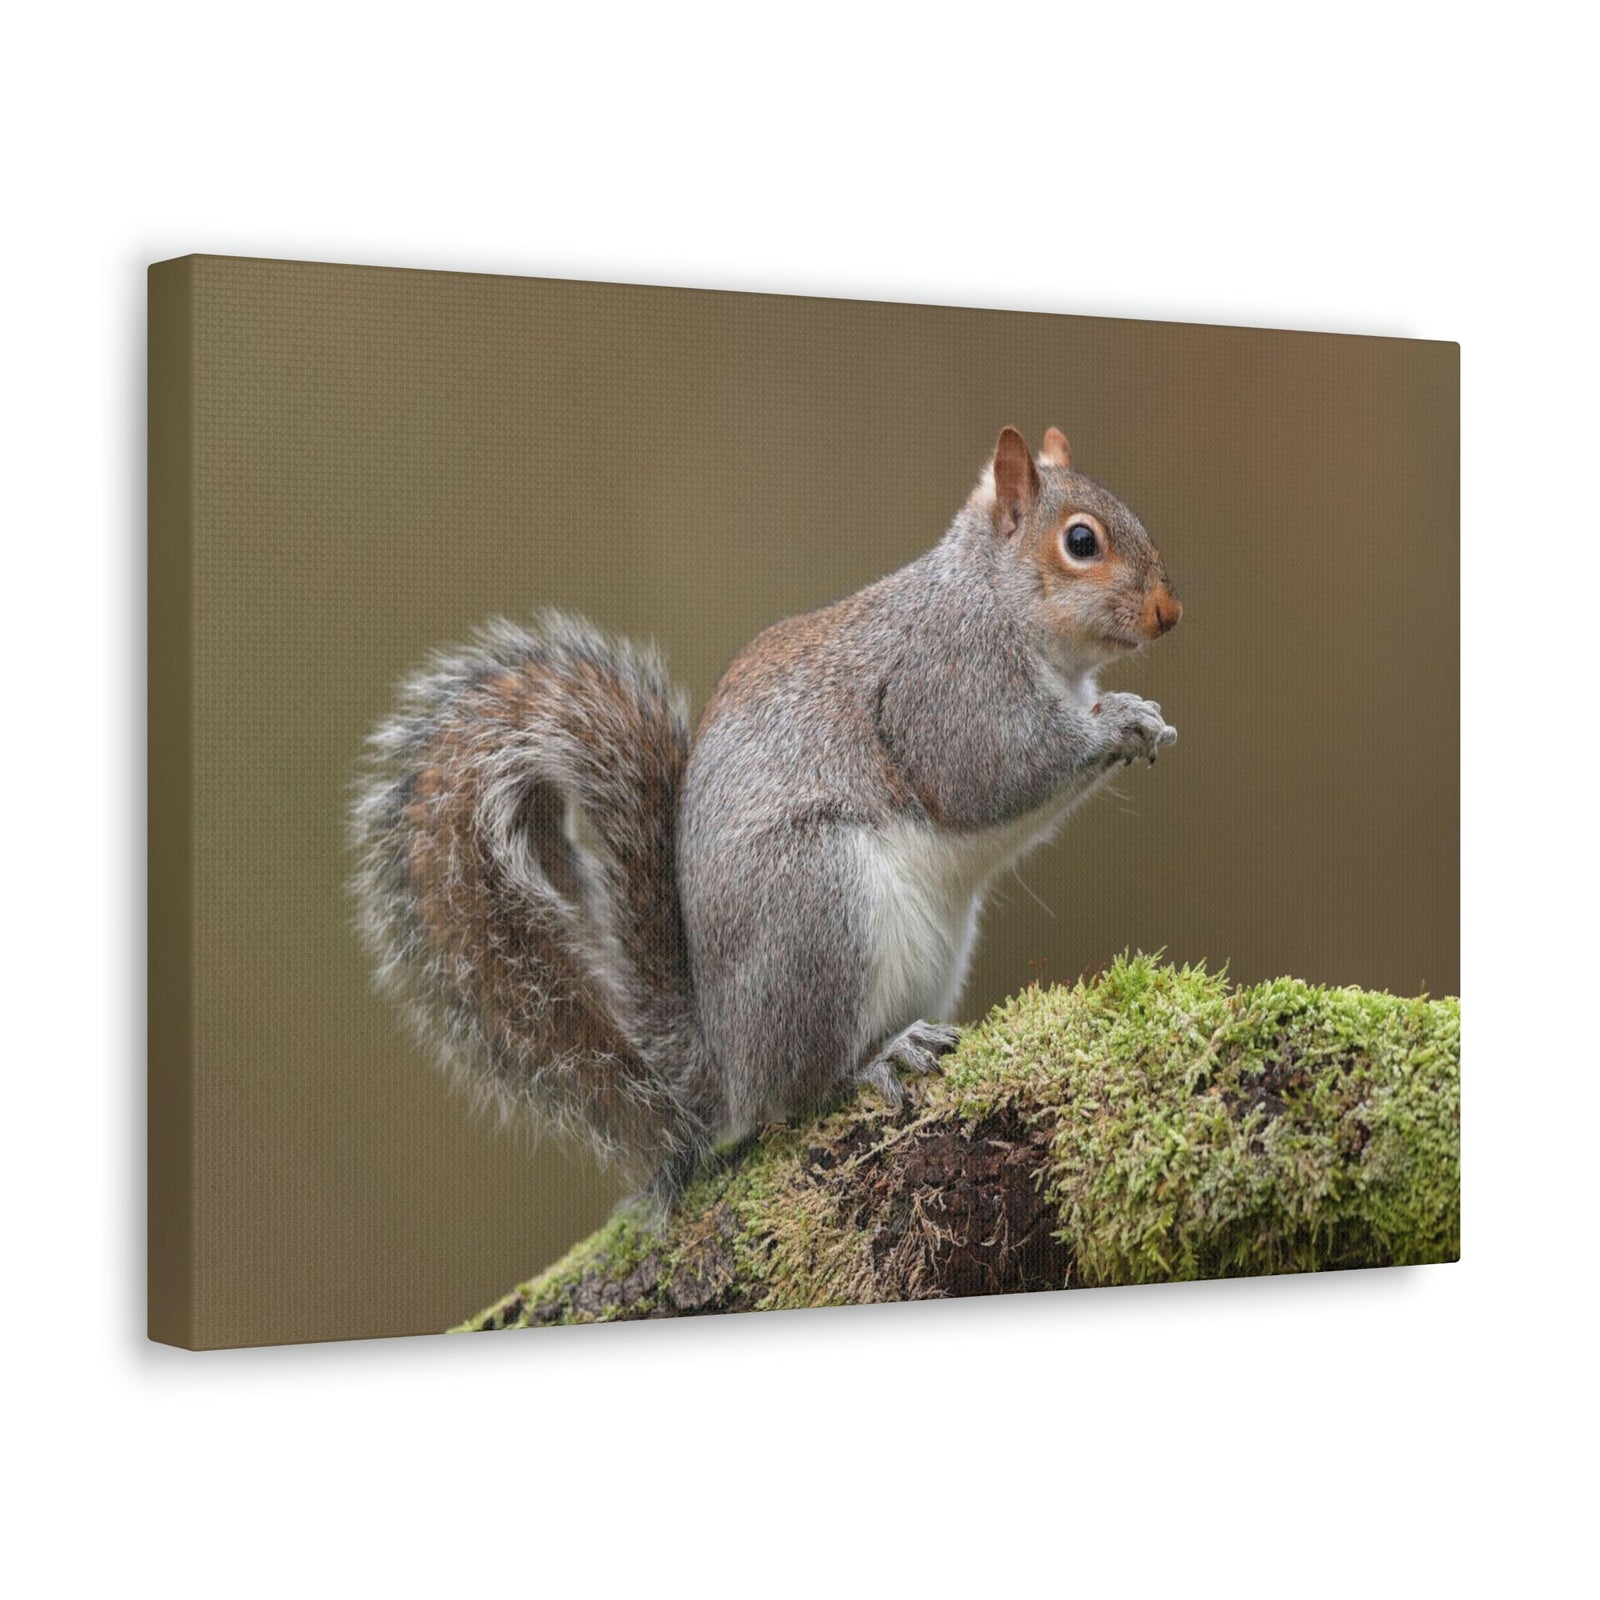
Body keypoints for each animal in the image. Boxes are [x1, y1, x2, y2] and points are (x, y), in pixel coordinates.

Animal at [350, 426, 1181, 1210]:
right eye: (1081, 542)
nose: (1169, 614)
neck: (995, 599)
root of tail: (726, 1065)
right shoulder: (944, 687)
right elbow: (991, 774)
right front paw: (1118, 722)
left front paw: (1142, 718)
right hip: (817, 906)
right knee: (803, 1087)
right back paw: (876, 1059)